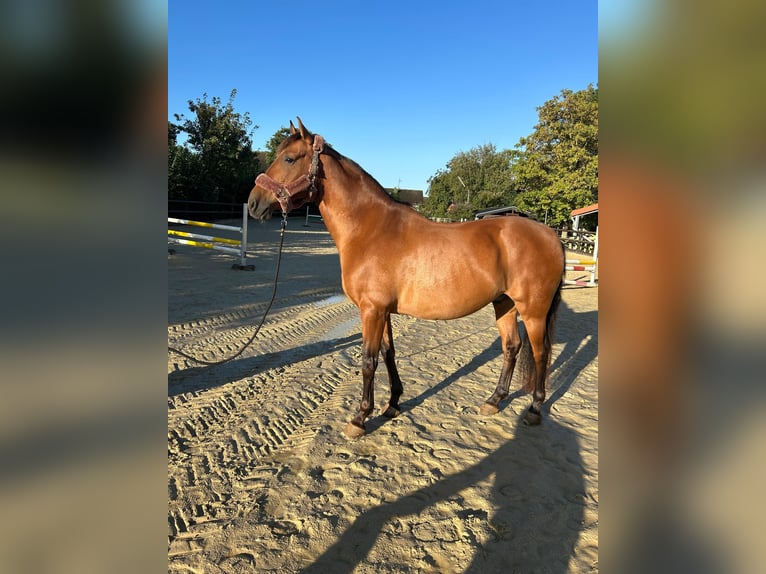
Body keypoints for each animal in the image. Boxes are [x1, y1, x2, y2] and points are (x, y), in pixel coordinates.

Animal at [249, 119, 568, 438]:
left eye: (289, 159)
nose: (253, 204)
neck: (369, 229)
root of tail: (552, 235)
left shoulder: (372, 311)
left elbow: (368, 360)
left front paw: (359, 418)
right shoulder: (382, 311)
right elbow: (388, 353)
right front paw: (392, 404)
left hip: (533, 311)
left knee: (541, 354)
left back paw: (534, 409)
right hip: (504, 304)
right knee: (511, 347)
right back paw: (494, 400)